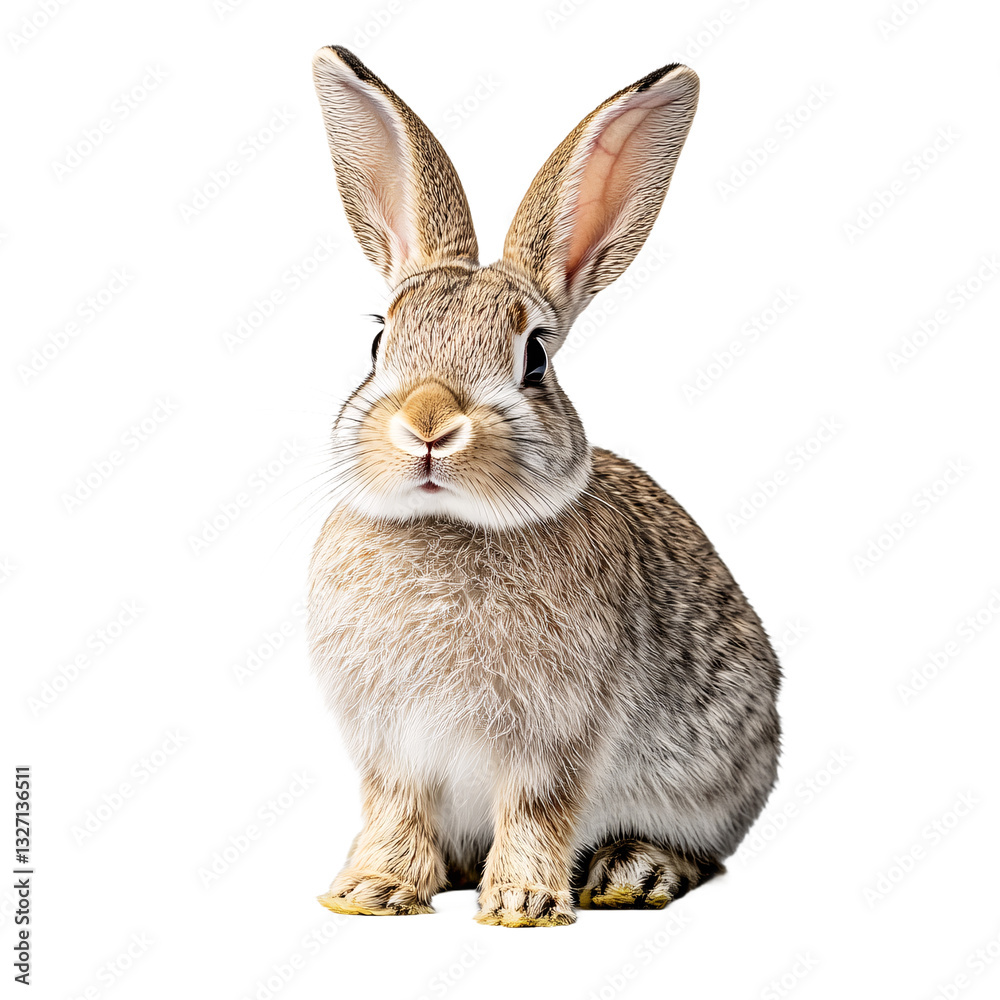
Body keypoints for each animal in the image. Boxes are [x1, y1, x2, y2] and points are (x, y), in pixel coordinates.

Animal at [307, 45, 781, 927]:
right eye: (380, 342)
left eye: (536, 359)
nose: (428, 422)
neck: (452, 527)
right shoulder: (392, 746)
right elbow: (397, 810)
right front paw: (369, 891)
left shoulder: (553, 737)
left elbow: (536, 810)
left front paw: (523, 904)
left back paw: (634, 873)